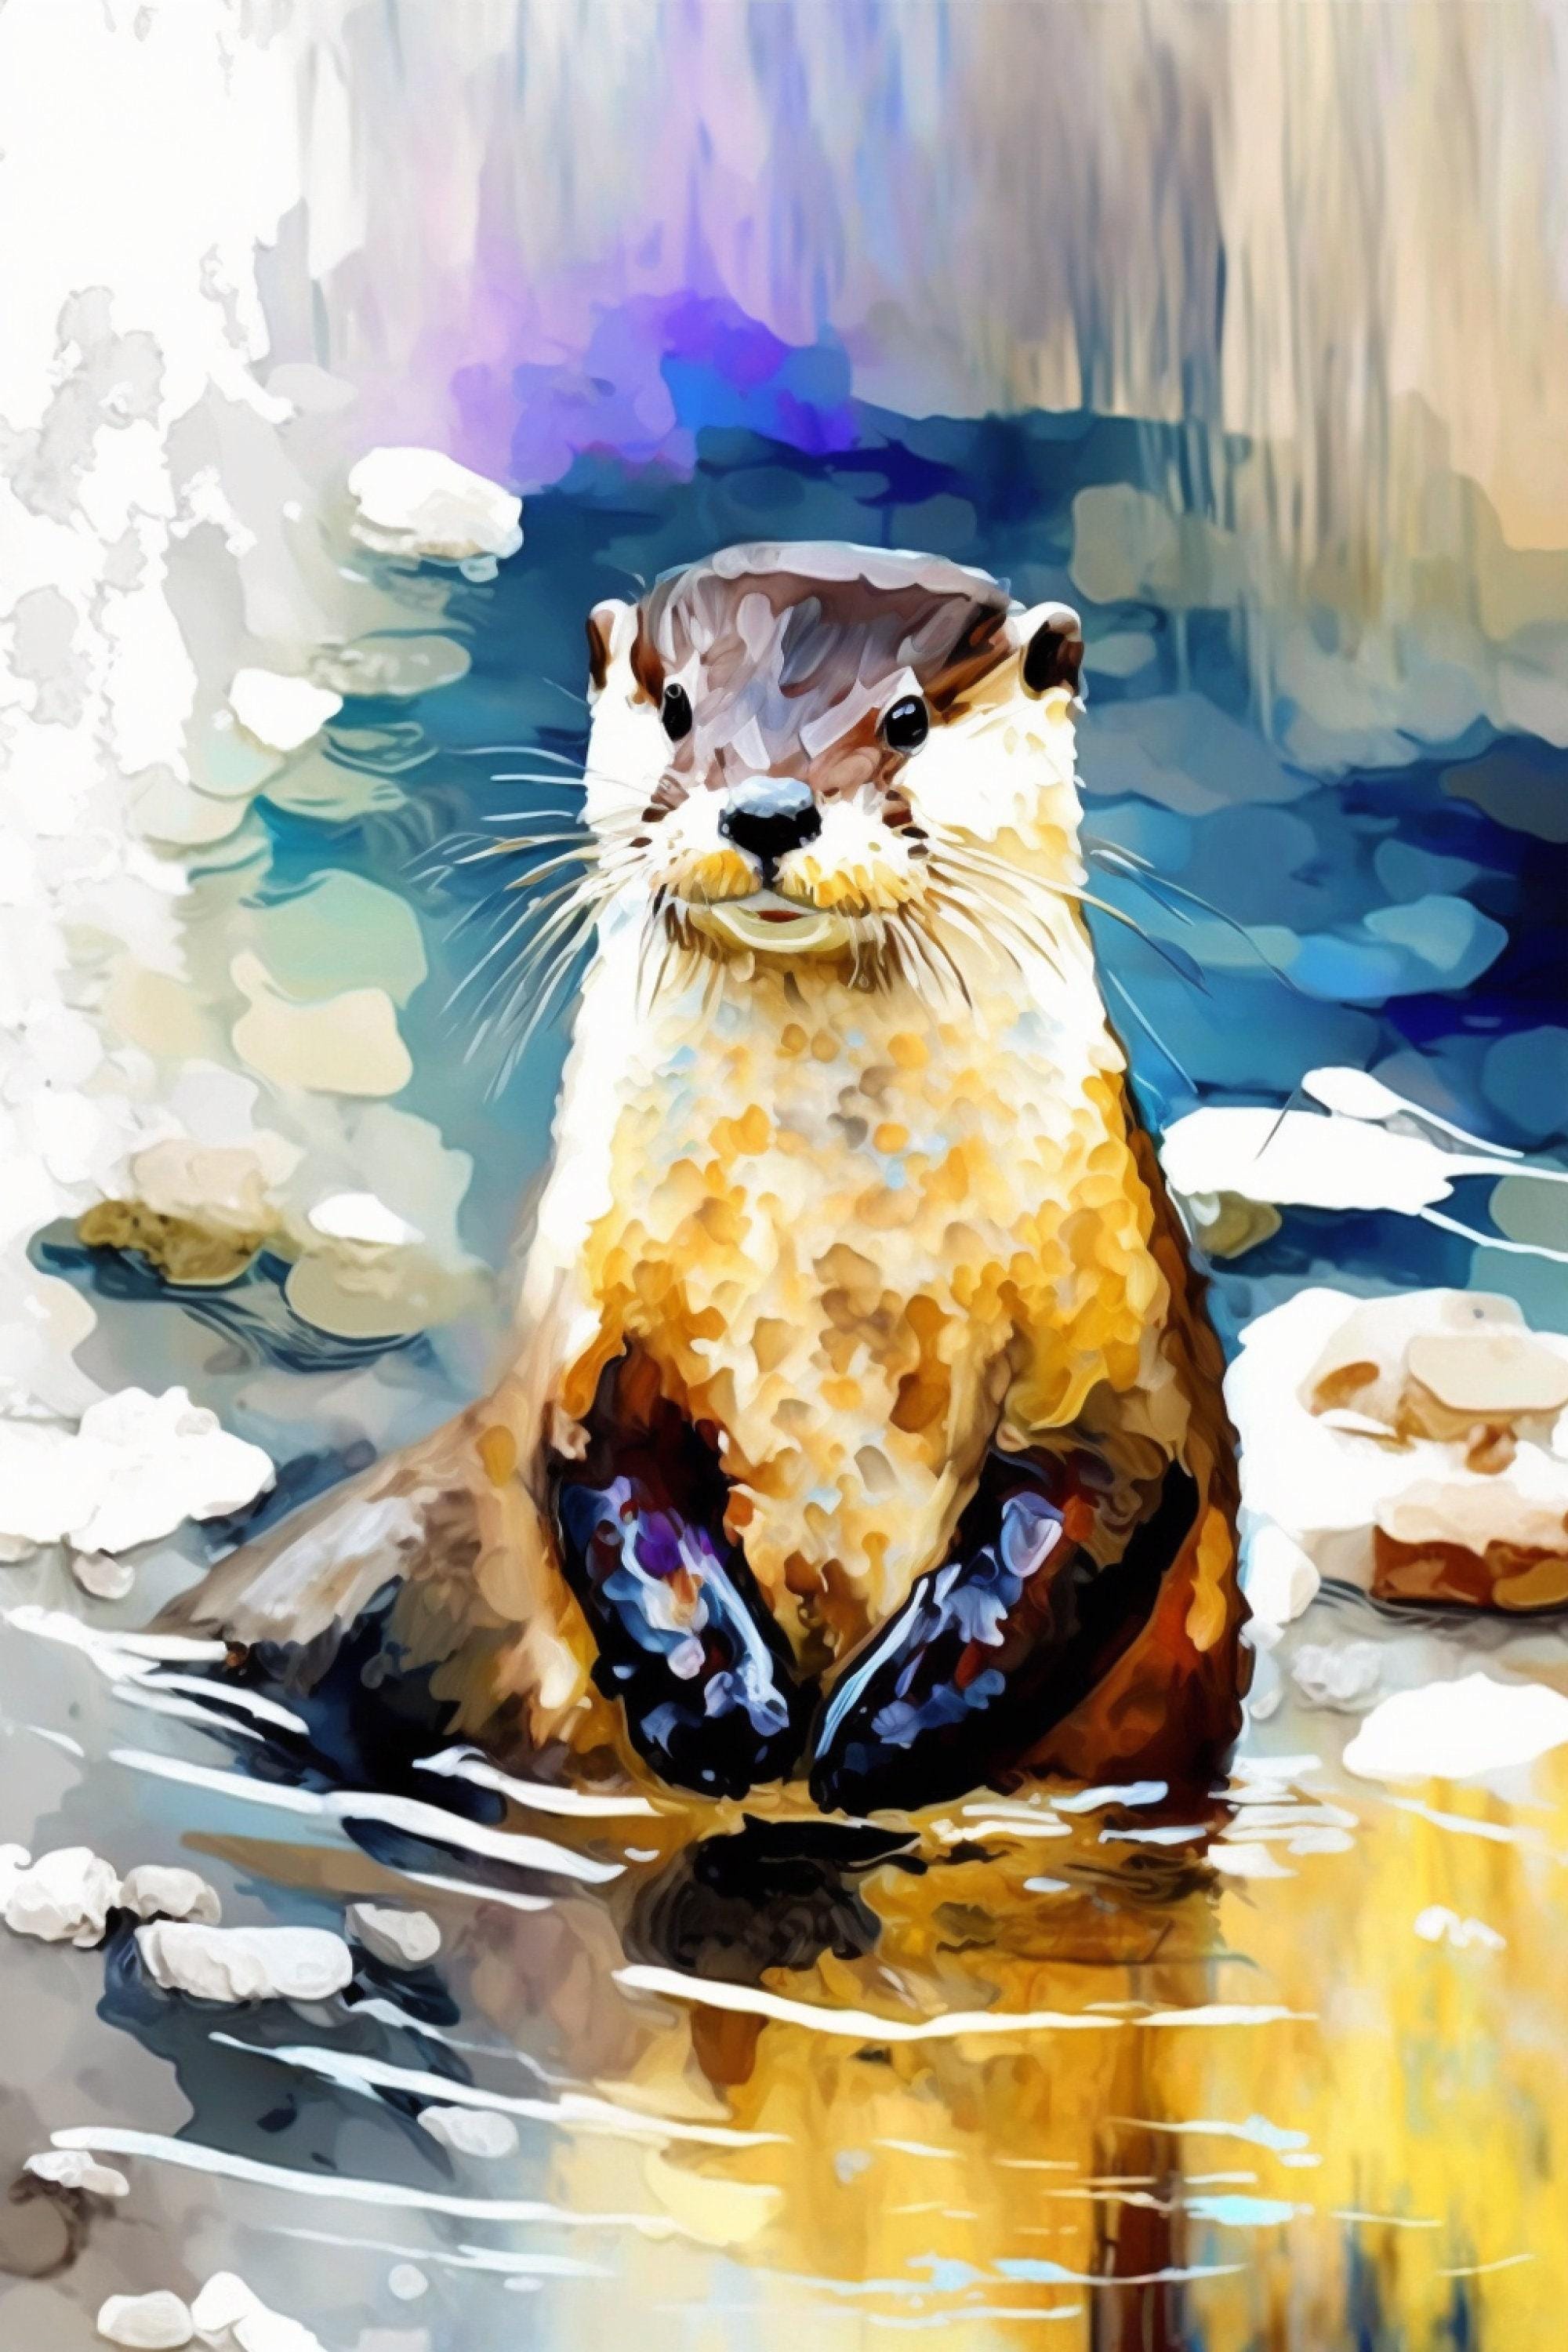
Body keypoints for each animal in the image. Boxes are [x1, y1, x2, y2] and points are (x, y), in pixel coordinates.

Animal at [164, 542, 1247, 1815]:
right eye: (680, 703)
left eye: (907, 718)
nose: (768, 806)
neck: (839, 1266)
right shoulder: (585, 1317)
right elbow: (604, 1476)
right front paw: (727, 1711)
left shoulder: (1115, 1318)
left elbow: (1095, 1504)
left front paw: (882, 1735)